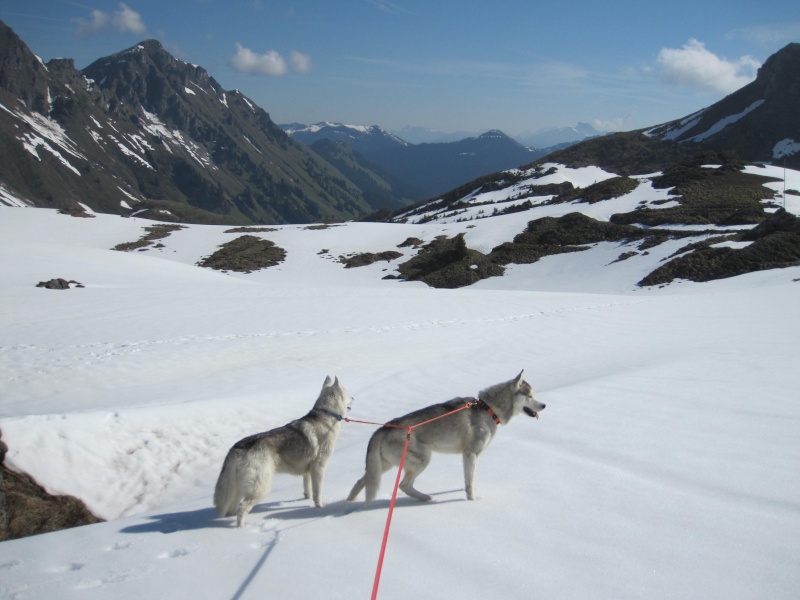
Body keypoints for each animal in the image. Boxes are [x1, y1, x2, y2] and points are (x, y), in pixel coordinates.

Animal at [212, 378, 354, 528]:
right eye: (347, 393)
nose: (353, 398)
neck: (327, 414)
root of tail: (236, 447)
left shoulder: (307, 471)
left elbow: (308, 490)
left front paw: (306, 500)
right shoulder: (319, 468)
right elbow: (317, 493)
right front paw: (319, 507)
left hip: (238, 489)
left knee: (233, 508)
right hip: (260, 488)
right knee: (242, 507)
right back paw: (240, 528)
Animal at [346, 372, 544, 504]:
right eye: (530, 396)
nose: (544, 405)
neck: (488, 409)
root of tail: (384, 428)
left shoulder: (472, 456)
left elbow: (470, 479)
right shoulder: (470, 454)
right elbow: (470, 482)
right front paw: (472, 500)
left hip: (384, 466)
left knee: (361, 481)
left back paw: (349, 504)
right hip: (423, 458)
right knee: (403, 485)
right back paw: (426, 498)